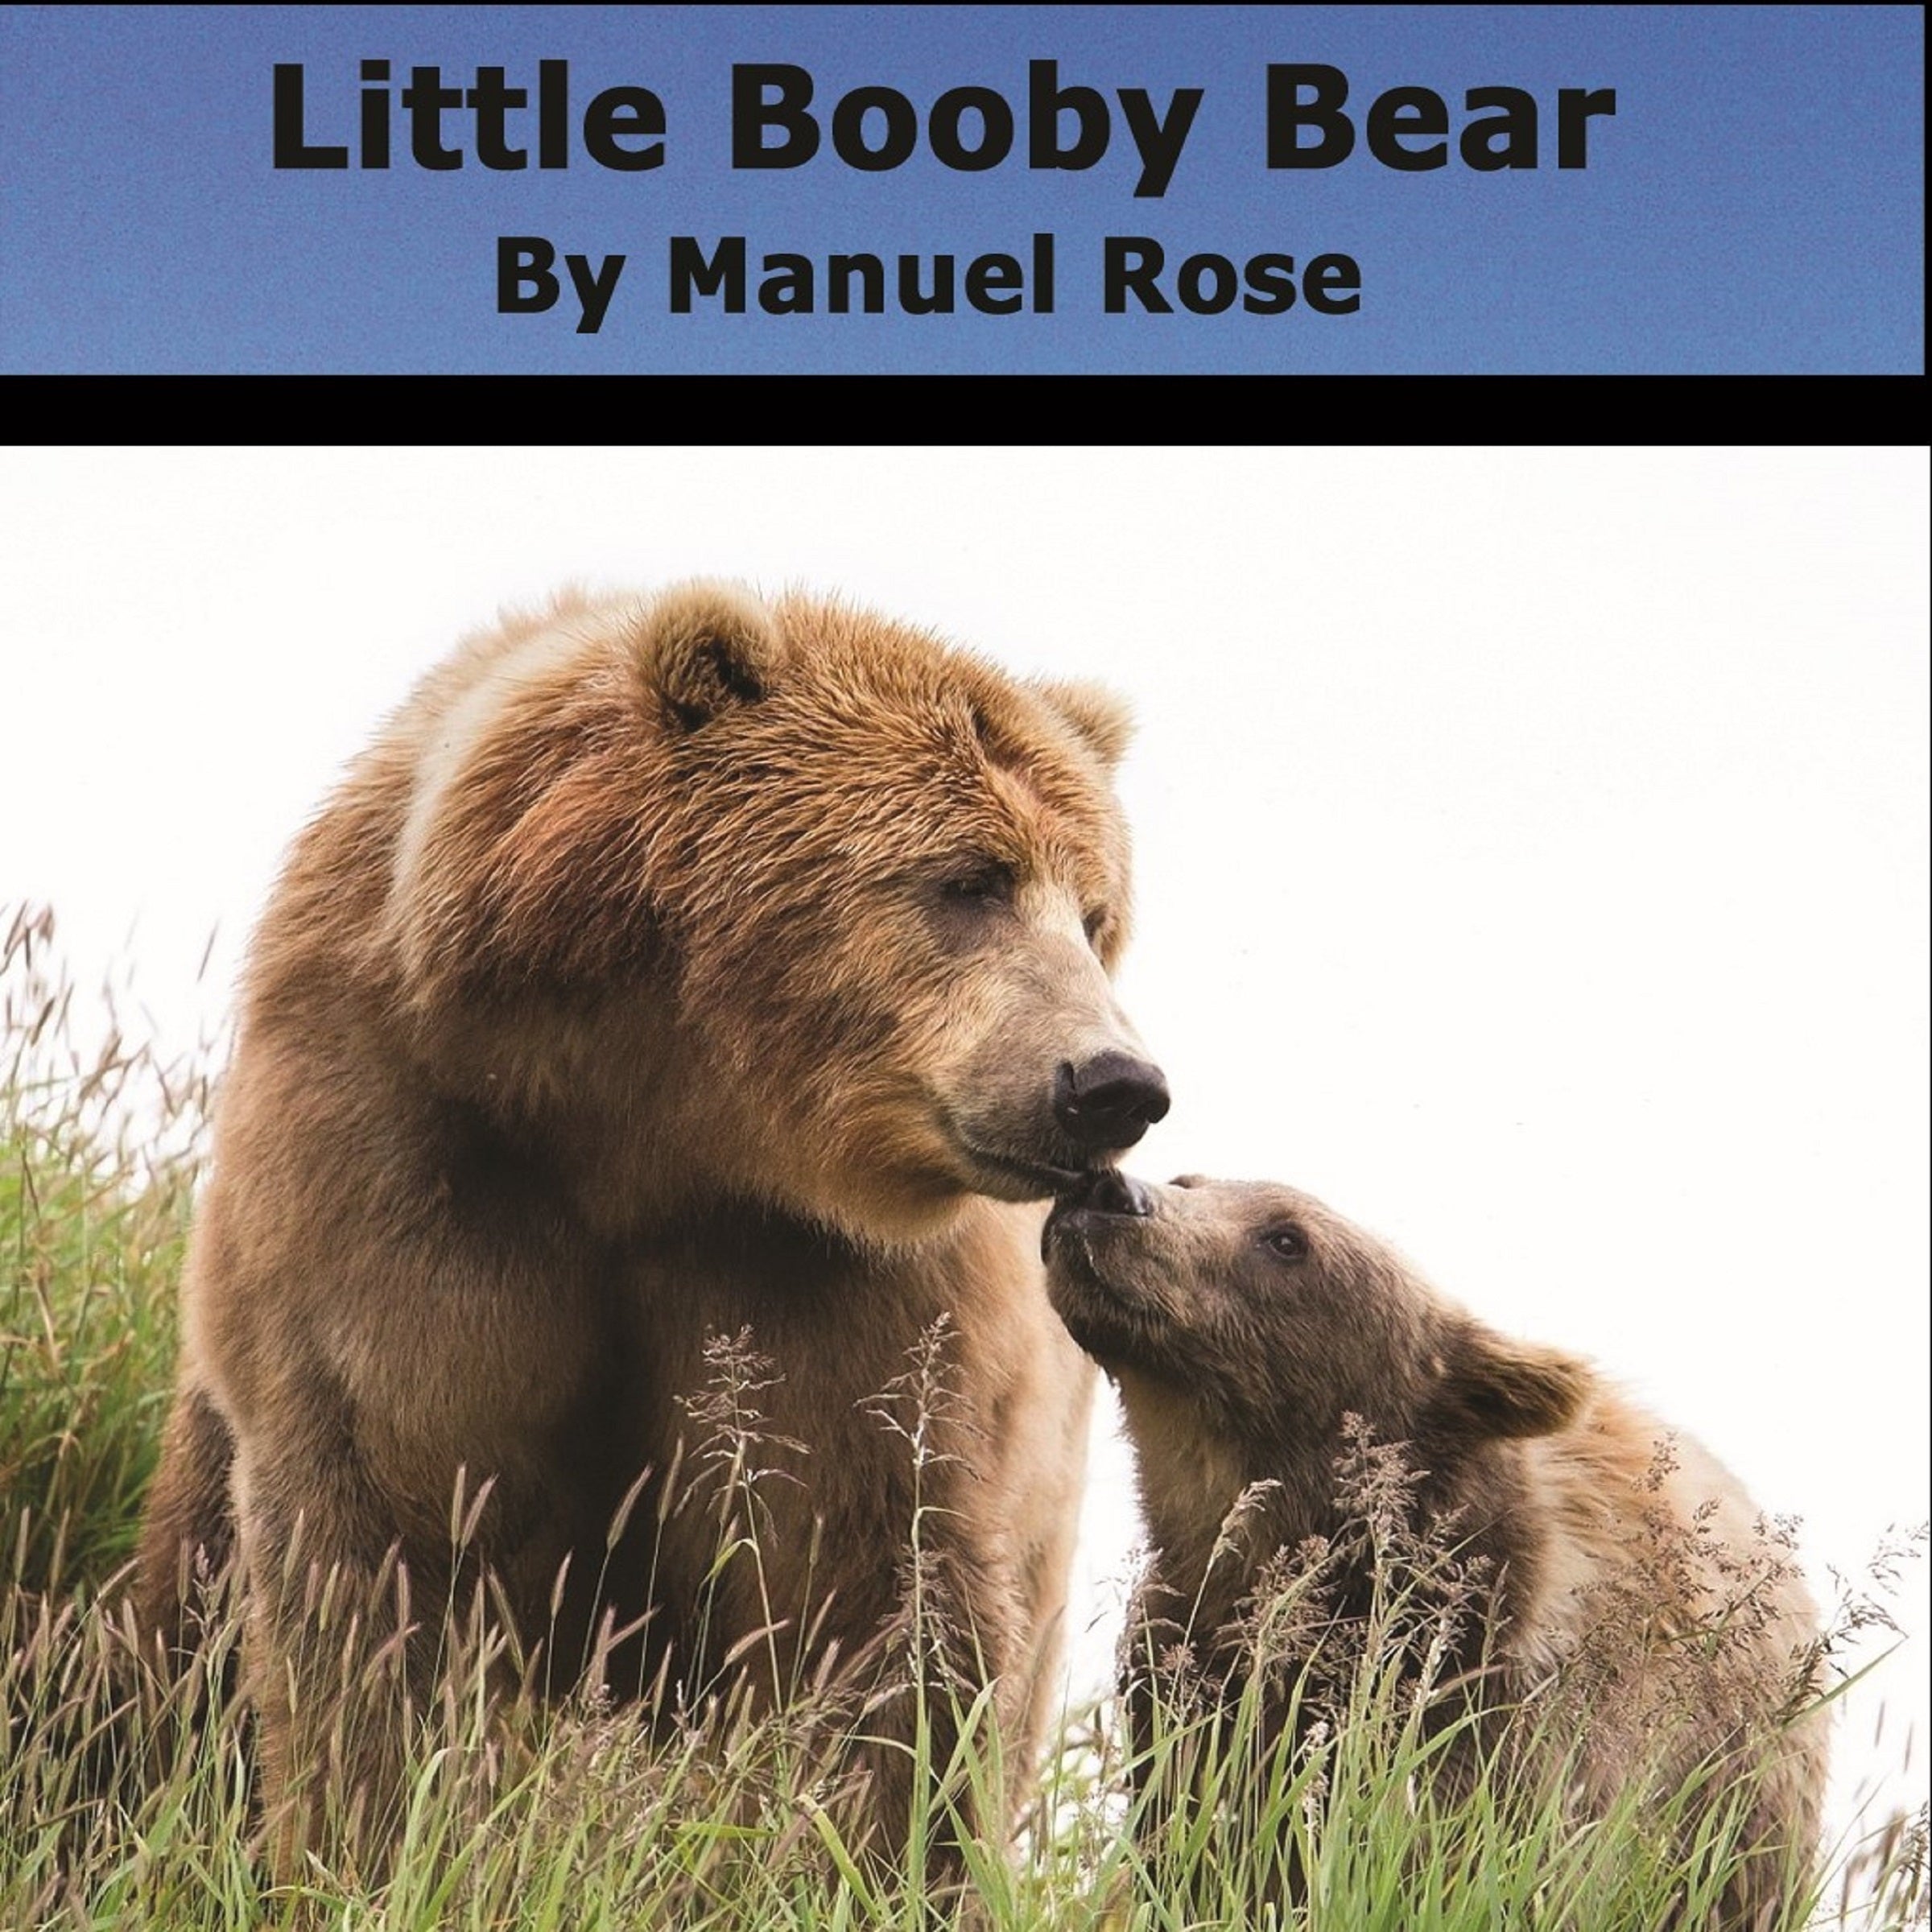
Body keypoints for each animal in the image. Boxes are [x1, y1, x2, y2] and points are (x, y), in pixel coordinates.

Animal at [133, 581, 1169, 1882]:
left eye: (1096, 912)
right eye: (968, 880)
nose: (1112, 1083)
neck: (659, 1116)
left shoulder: (838, 1286)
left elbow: (871, 1607)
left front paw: (848, 1860)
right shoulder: (405, 1154)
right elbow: (387, 1544)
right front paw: (383, 1844)